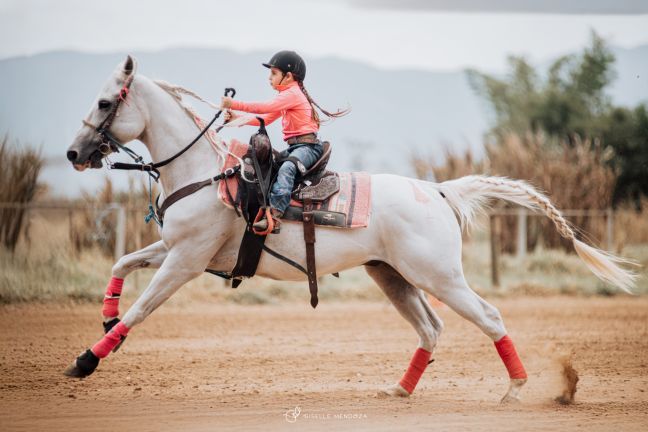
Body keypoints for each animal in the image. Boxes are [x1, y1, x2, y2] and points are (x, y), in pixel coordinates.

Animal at [64, 55, 632, 404]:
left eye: (105, 102)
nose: (73, 153)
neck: (207, 172)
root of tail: (440, 191)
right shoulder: (179, 249)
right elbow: (123, 262)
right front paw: (105, 311)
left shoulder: (185, 261)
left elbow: (141, 310)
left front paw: (87, 359)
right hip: (392, 276)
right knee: (431, 328)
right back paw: (400, 390)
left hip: (439, 276)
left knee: (488, 317)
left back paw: (517, 387)